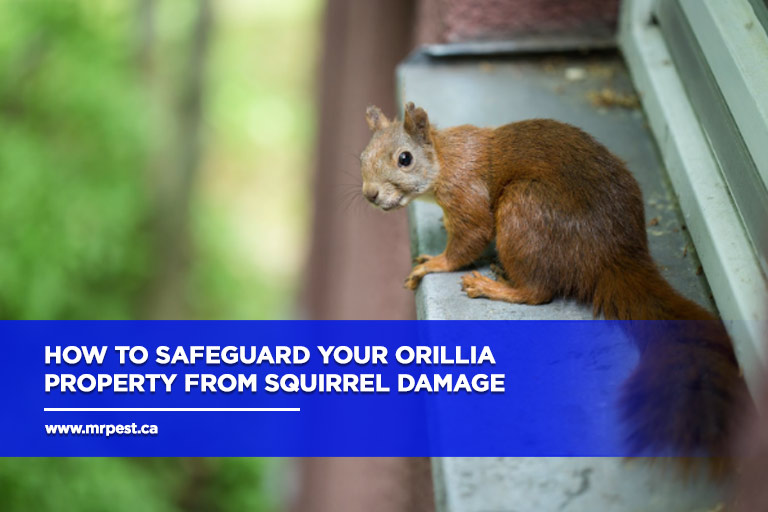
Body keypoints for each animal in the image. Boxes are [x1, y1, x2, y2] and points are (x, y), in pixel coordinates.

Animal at [360, 102, 748, 460]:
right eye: (362, 155)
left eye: (405, 159)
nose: (369, 195)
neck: (444, 157)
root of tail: (612, 254)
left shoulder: (466, 194)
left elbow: (469, 238)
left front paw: (433, 263)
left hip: (522, 210)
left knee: (537, 292)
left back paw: (492, 285)